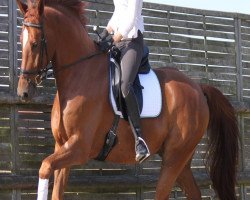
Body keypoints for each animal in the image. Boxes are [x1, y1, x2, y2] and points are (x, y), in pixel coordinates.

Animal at [16, 0, 239, 199]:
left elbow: (44, 166)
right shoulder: (61, 146)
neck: (80, 74)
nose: (23, 92)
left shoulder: (79, 147)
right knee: (194, 193)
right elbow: (55, 188)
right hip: (180, 160)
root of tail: (198, 88)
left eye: (34, 44)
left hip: (174, 158)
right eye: (20, 40)